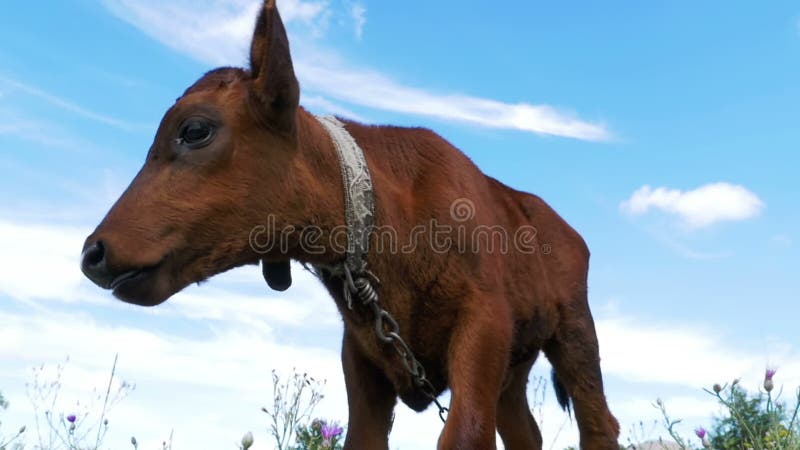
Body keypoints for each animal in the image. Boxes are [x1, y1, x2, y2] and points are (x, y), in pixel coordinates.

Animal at [79, 1, 620, 448]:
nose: (92, 253)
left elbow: (465, 433)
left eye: (194, 130)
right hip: (513, 370)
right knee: (525, 432)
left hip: (575, 333)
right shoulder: (361, 356)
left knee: (599, 423)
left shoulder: (484, 324)